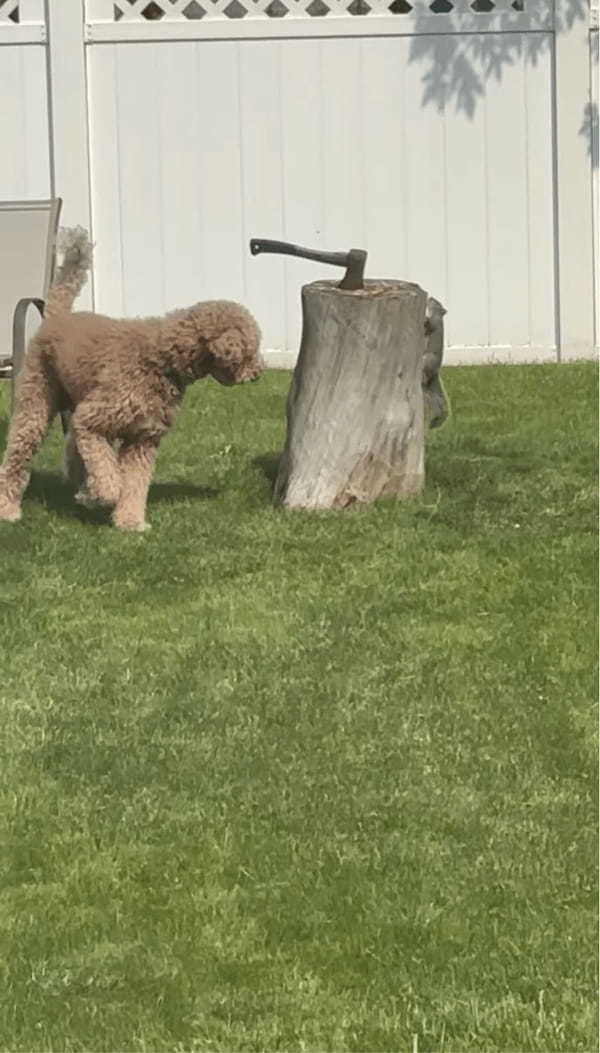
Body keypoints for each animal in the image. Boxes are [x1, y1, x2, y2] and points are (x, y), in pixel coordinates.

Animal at [0, 227, 261, 530]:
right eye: (251, 351)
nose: (259, 373)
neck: (161, 360)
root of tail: (57, 316)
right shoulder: (92, 422)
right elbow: (110, 476)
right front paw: (104, 496)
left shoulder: (142, 438)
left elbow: (135, 484)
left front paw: (130, 522)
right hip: (37, 403)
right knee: (18, 456)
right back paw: (9, 508)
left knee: (72, 450)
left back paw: (82, 489)